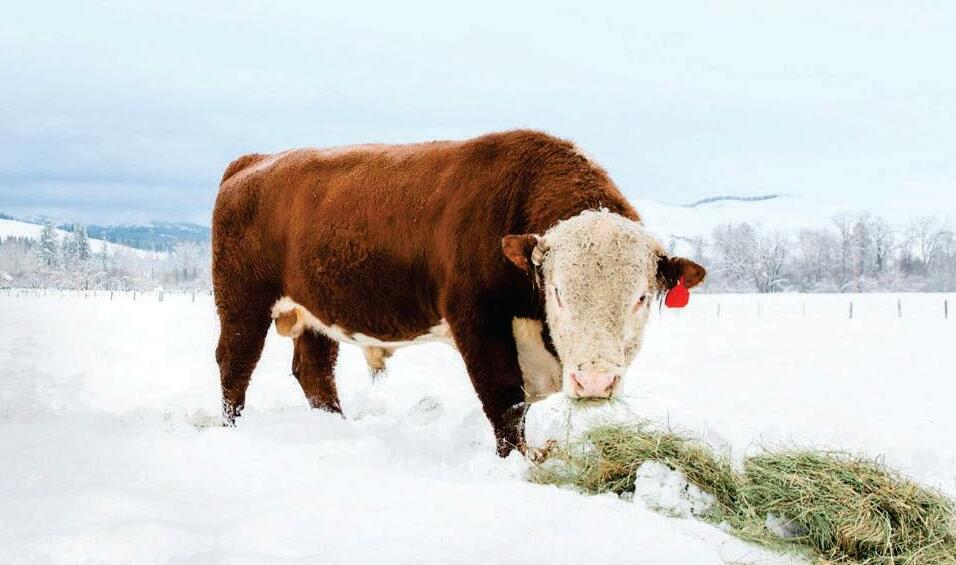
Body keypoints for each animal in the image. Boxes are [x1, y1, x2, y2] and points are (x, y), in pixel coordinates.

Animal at [212, 130, 705, 455]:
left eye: (641, 297)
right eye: (558, 291)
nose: (595, 381)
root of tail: (253, 161)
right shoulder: (478, 323)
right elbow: (505, 401)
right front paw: (518, 463)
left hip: (315, 309)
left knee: (315, 372)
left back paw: (334, 428)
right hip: (241, 304)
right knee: (235, 363)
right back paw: (230, 429)